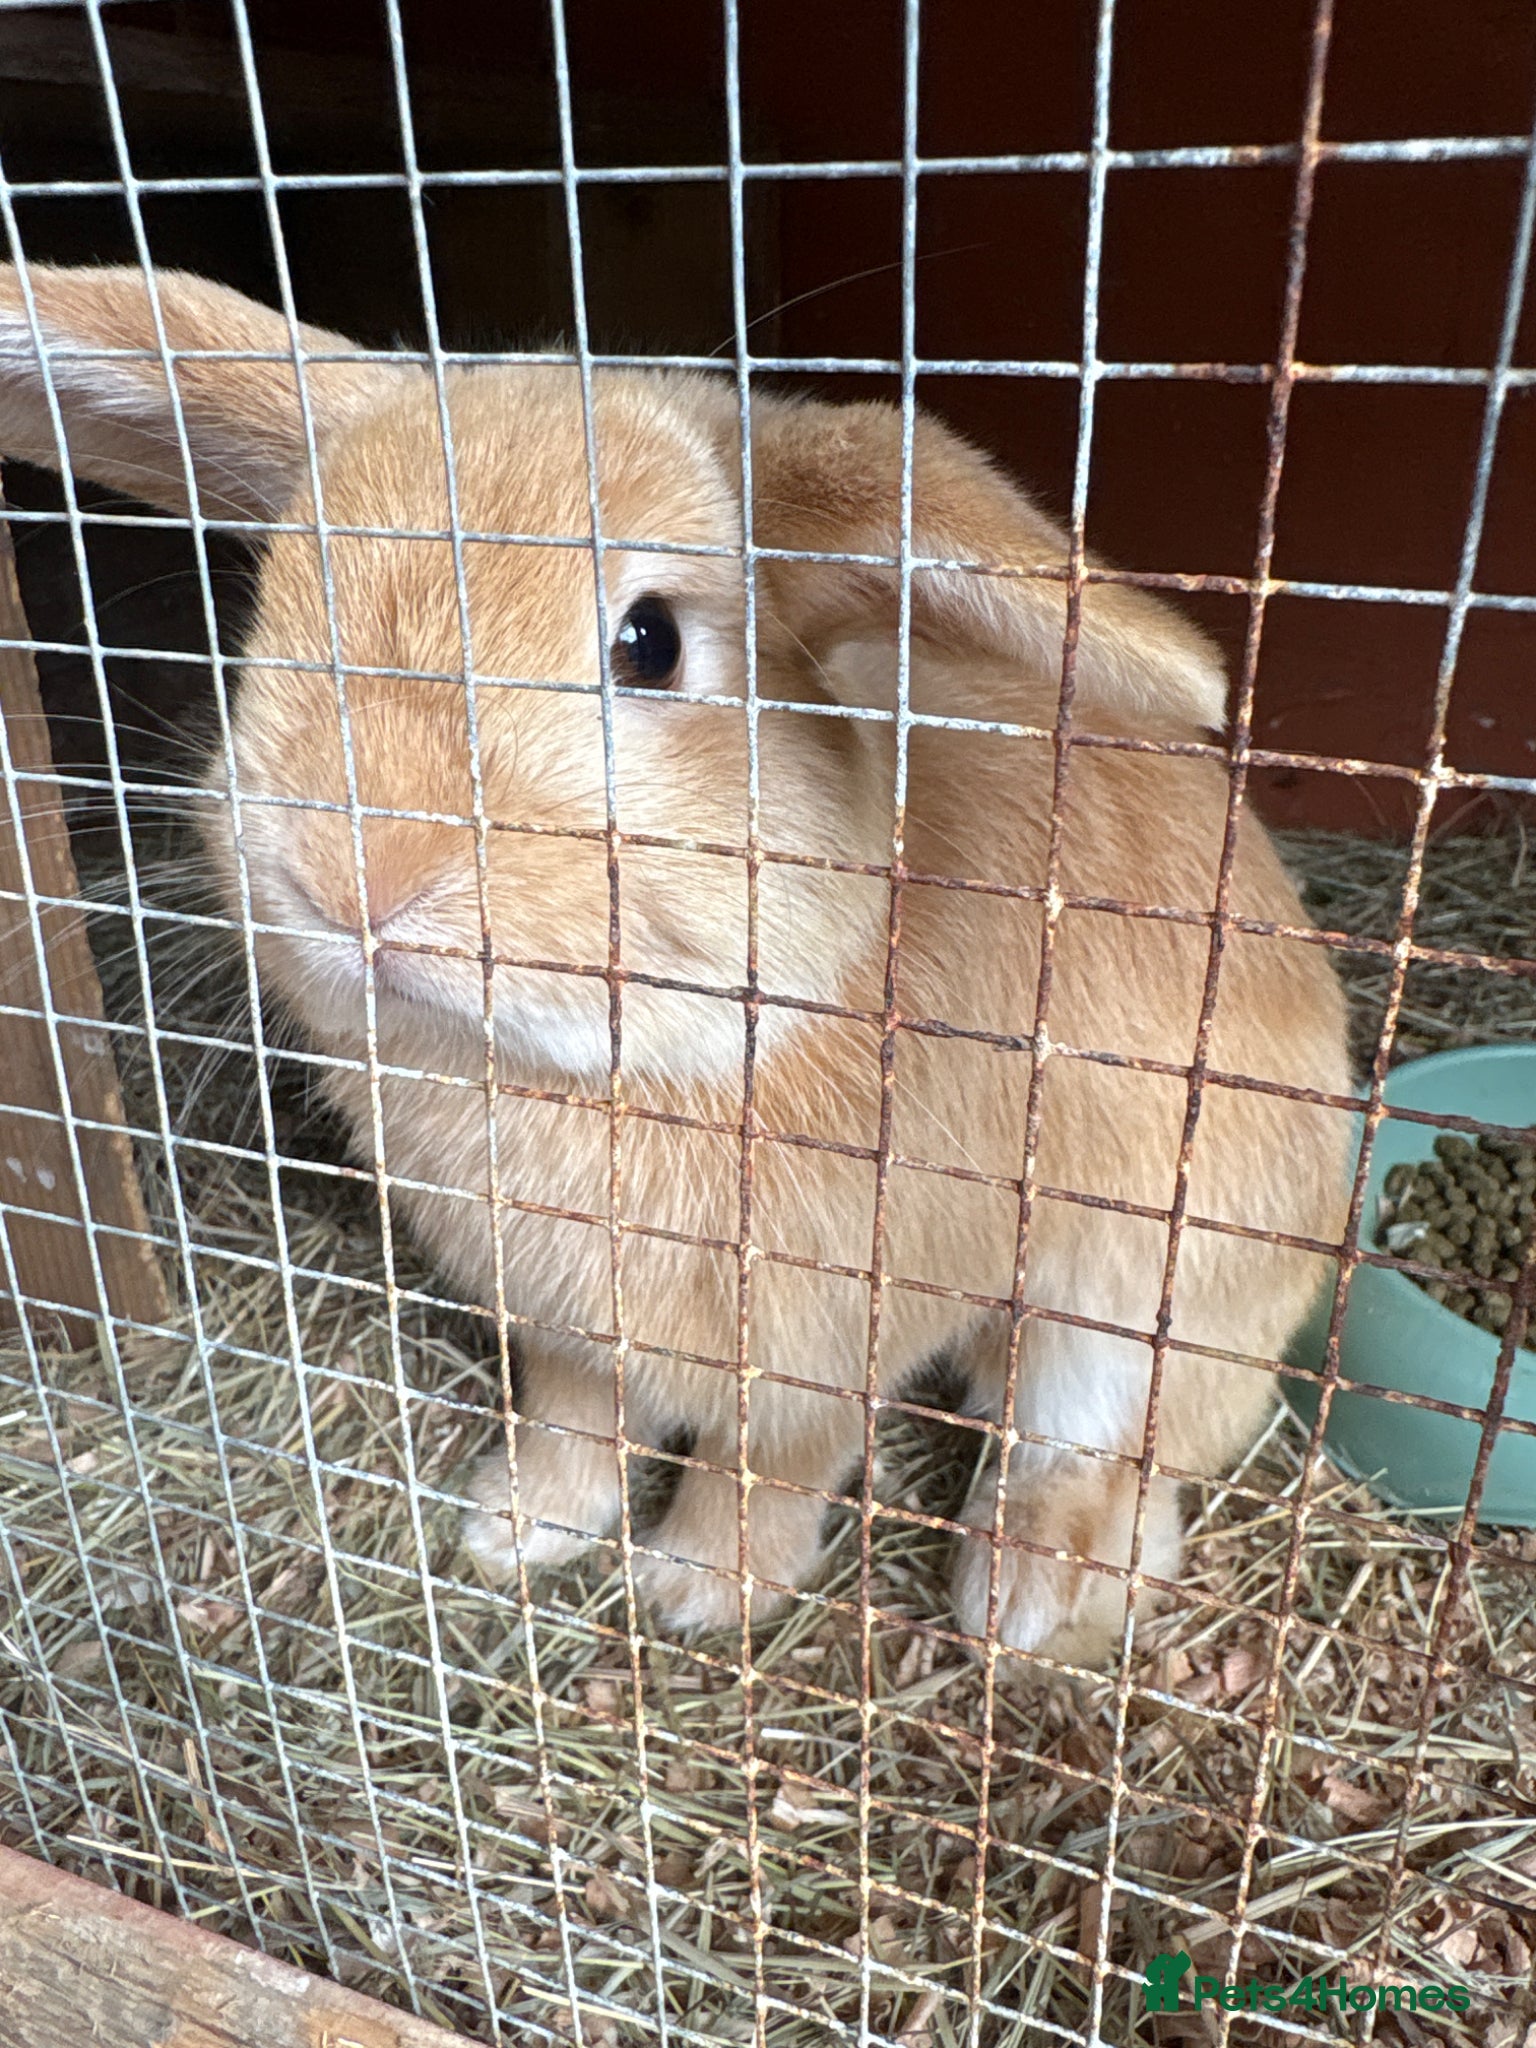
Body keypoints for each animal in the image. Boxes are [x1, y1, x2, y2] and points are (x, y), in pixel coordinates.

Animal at [0, 264, 1354, 1662]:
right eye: (280, 597)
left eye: (648, 640)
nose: (353, 876)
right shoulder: (562, 1325)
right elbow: (574, 1411)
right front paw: (519, 1529)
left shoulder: (832, 1343)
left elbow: (776, 1461)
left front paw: (701, 1589)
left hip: (1158, 1287)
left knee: (1114, 1446)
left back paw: (1028, 1597)